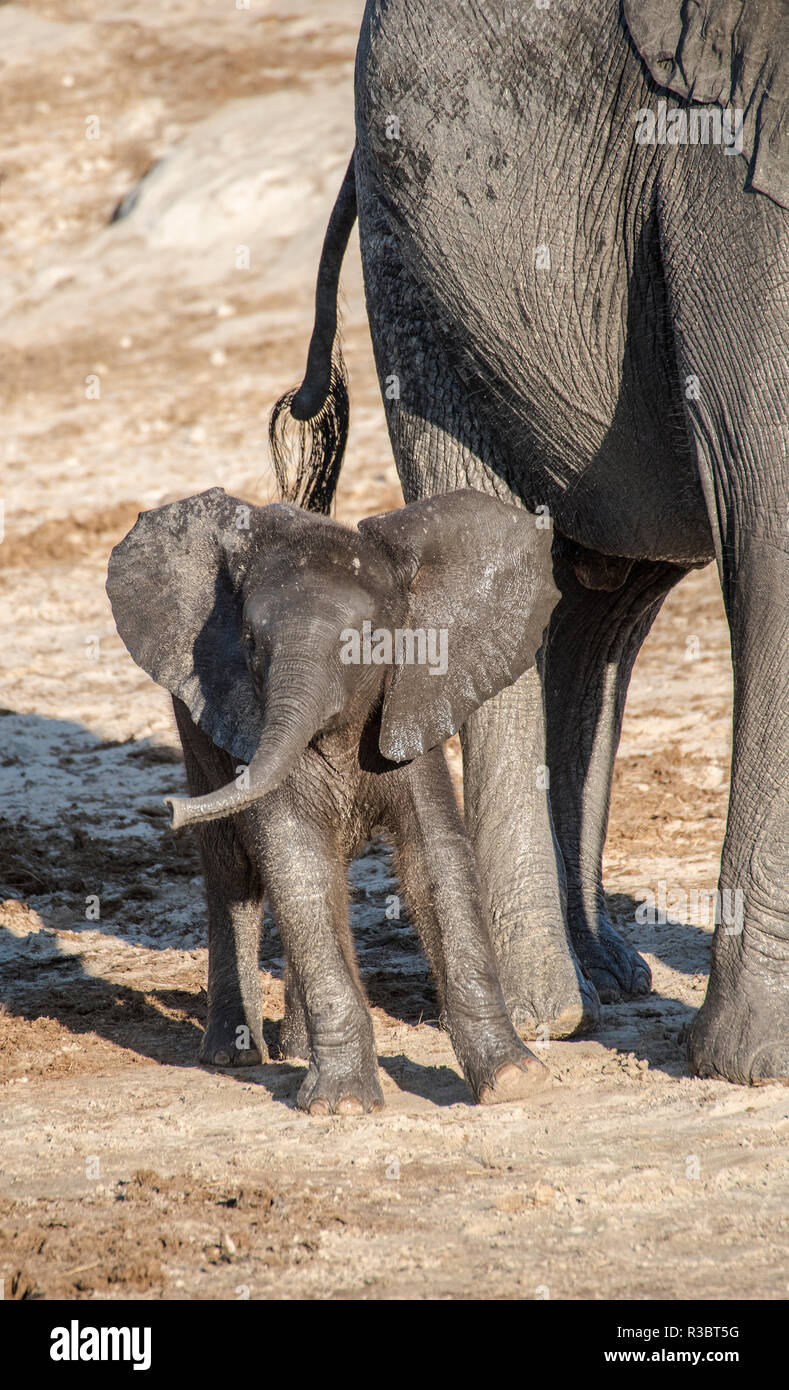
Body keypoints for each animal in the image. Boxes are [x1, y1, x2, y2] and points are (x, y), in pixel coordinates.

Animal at [106, 486, 558, 1112]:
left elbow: (433, 858)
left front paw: (515, 1080)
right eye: (250, 643)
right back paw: (234, 1055)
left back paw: (295, 1049)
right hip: (196, 727)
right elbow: (297, 860)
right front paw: (341, 1105)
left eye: (365, 643)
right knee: (232, 872)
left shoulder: (409, 701)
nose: (168, 809)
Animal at [269, 0, 789, 1084]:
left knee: (600, 604)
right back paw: (543, 1011)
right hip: (420, 256)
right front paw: (755, 1066)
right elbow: (776, 519)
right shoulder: (733, 177)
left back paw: (603, 981)